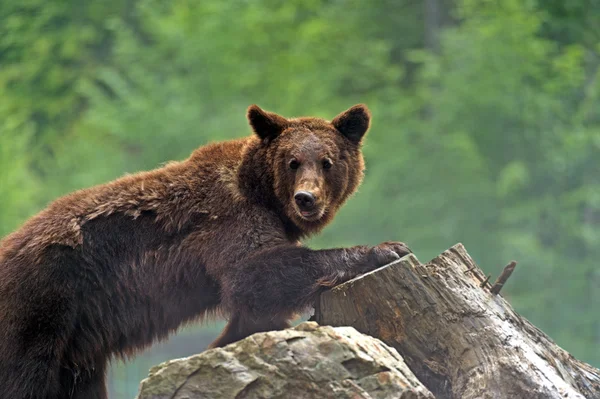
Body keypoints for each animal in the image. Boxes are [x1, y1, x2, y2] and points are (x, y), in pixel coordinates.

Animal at [0, 104, 410, 399]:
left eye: (327, 161)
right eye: (292, 161)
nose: (306, 198)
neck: (262, 194)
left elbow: (253, 311)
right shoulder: (228, 221)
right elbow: (255, 274)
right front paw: (386, 248)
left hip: (77, 338)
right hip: (42, 301)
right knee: (24, 374)